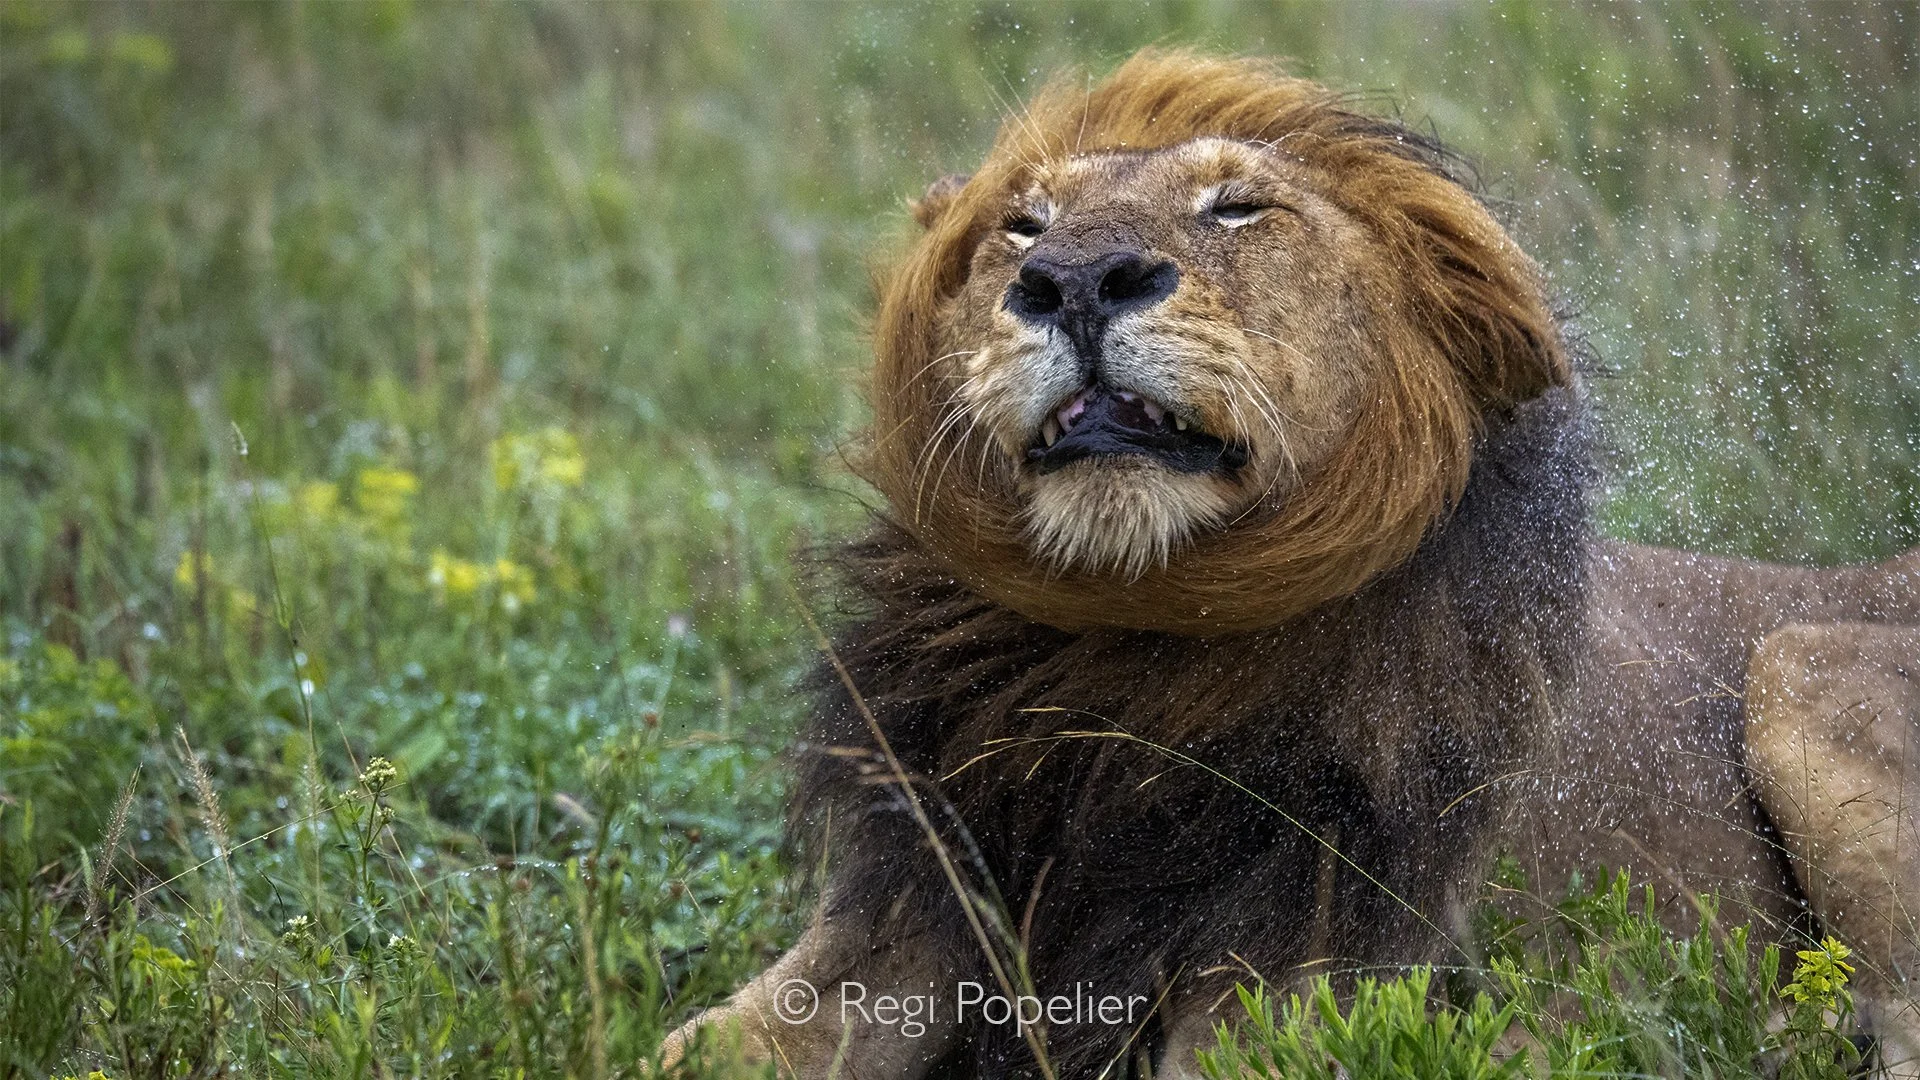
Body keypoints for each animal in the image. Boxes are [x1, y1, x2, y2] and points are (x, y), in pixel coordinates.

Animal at [663, 50, 1920, 1078]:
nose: (1074, 281)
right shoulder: (893, 924)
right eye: (1021, 226)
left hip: (1798, 665)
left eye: (1238, 207)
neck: (1124, 667)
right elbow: (680, 1047)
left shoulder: (1299, 979)